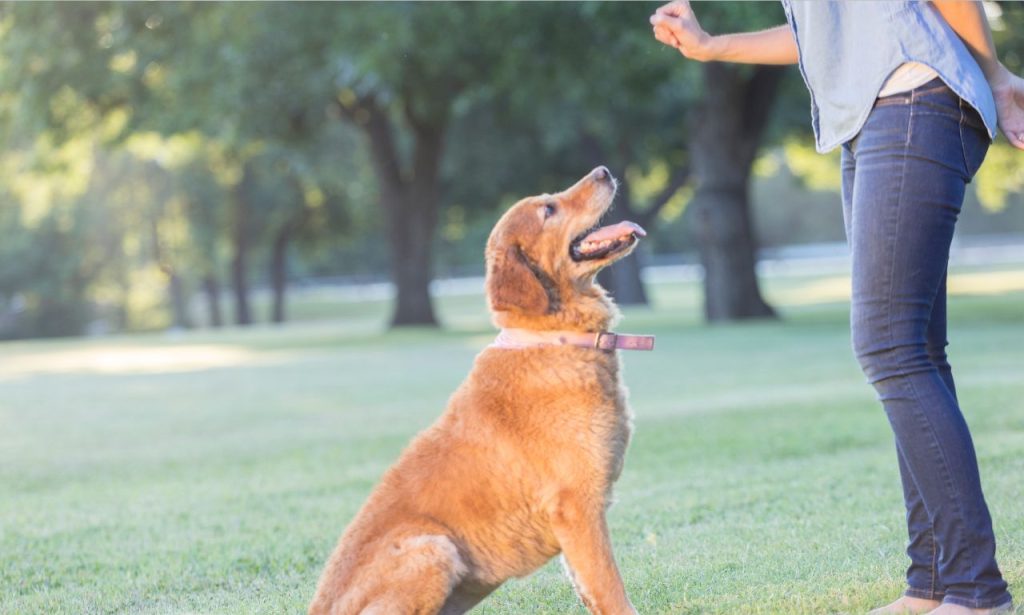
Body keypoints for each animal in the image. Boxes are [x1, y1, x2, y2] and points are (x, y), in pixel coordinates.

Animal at [307, 166, 651, 613]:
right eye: (548, 209)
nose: (605, 171)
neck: (553, 337)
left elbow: (590, 591)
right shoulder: (577, 508)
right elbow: (612, 591)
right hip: (433, 548)